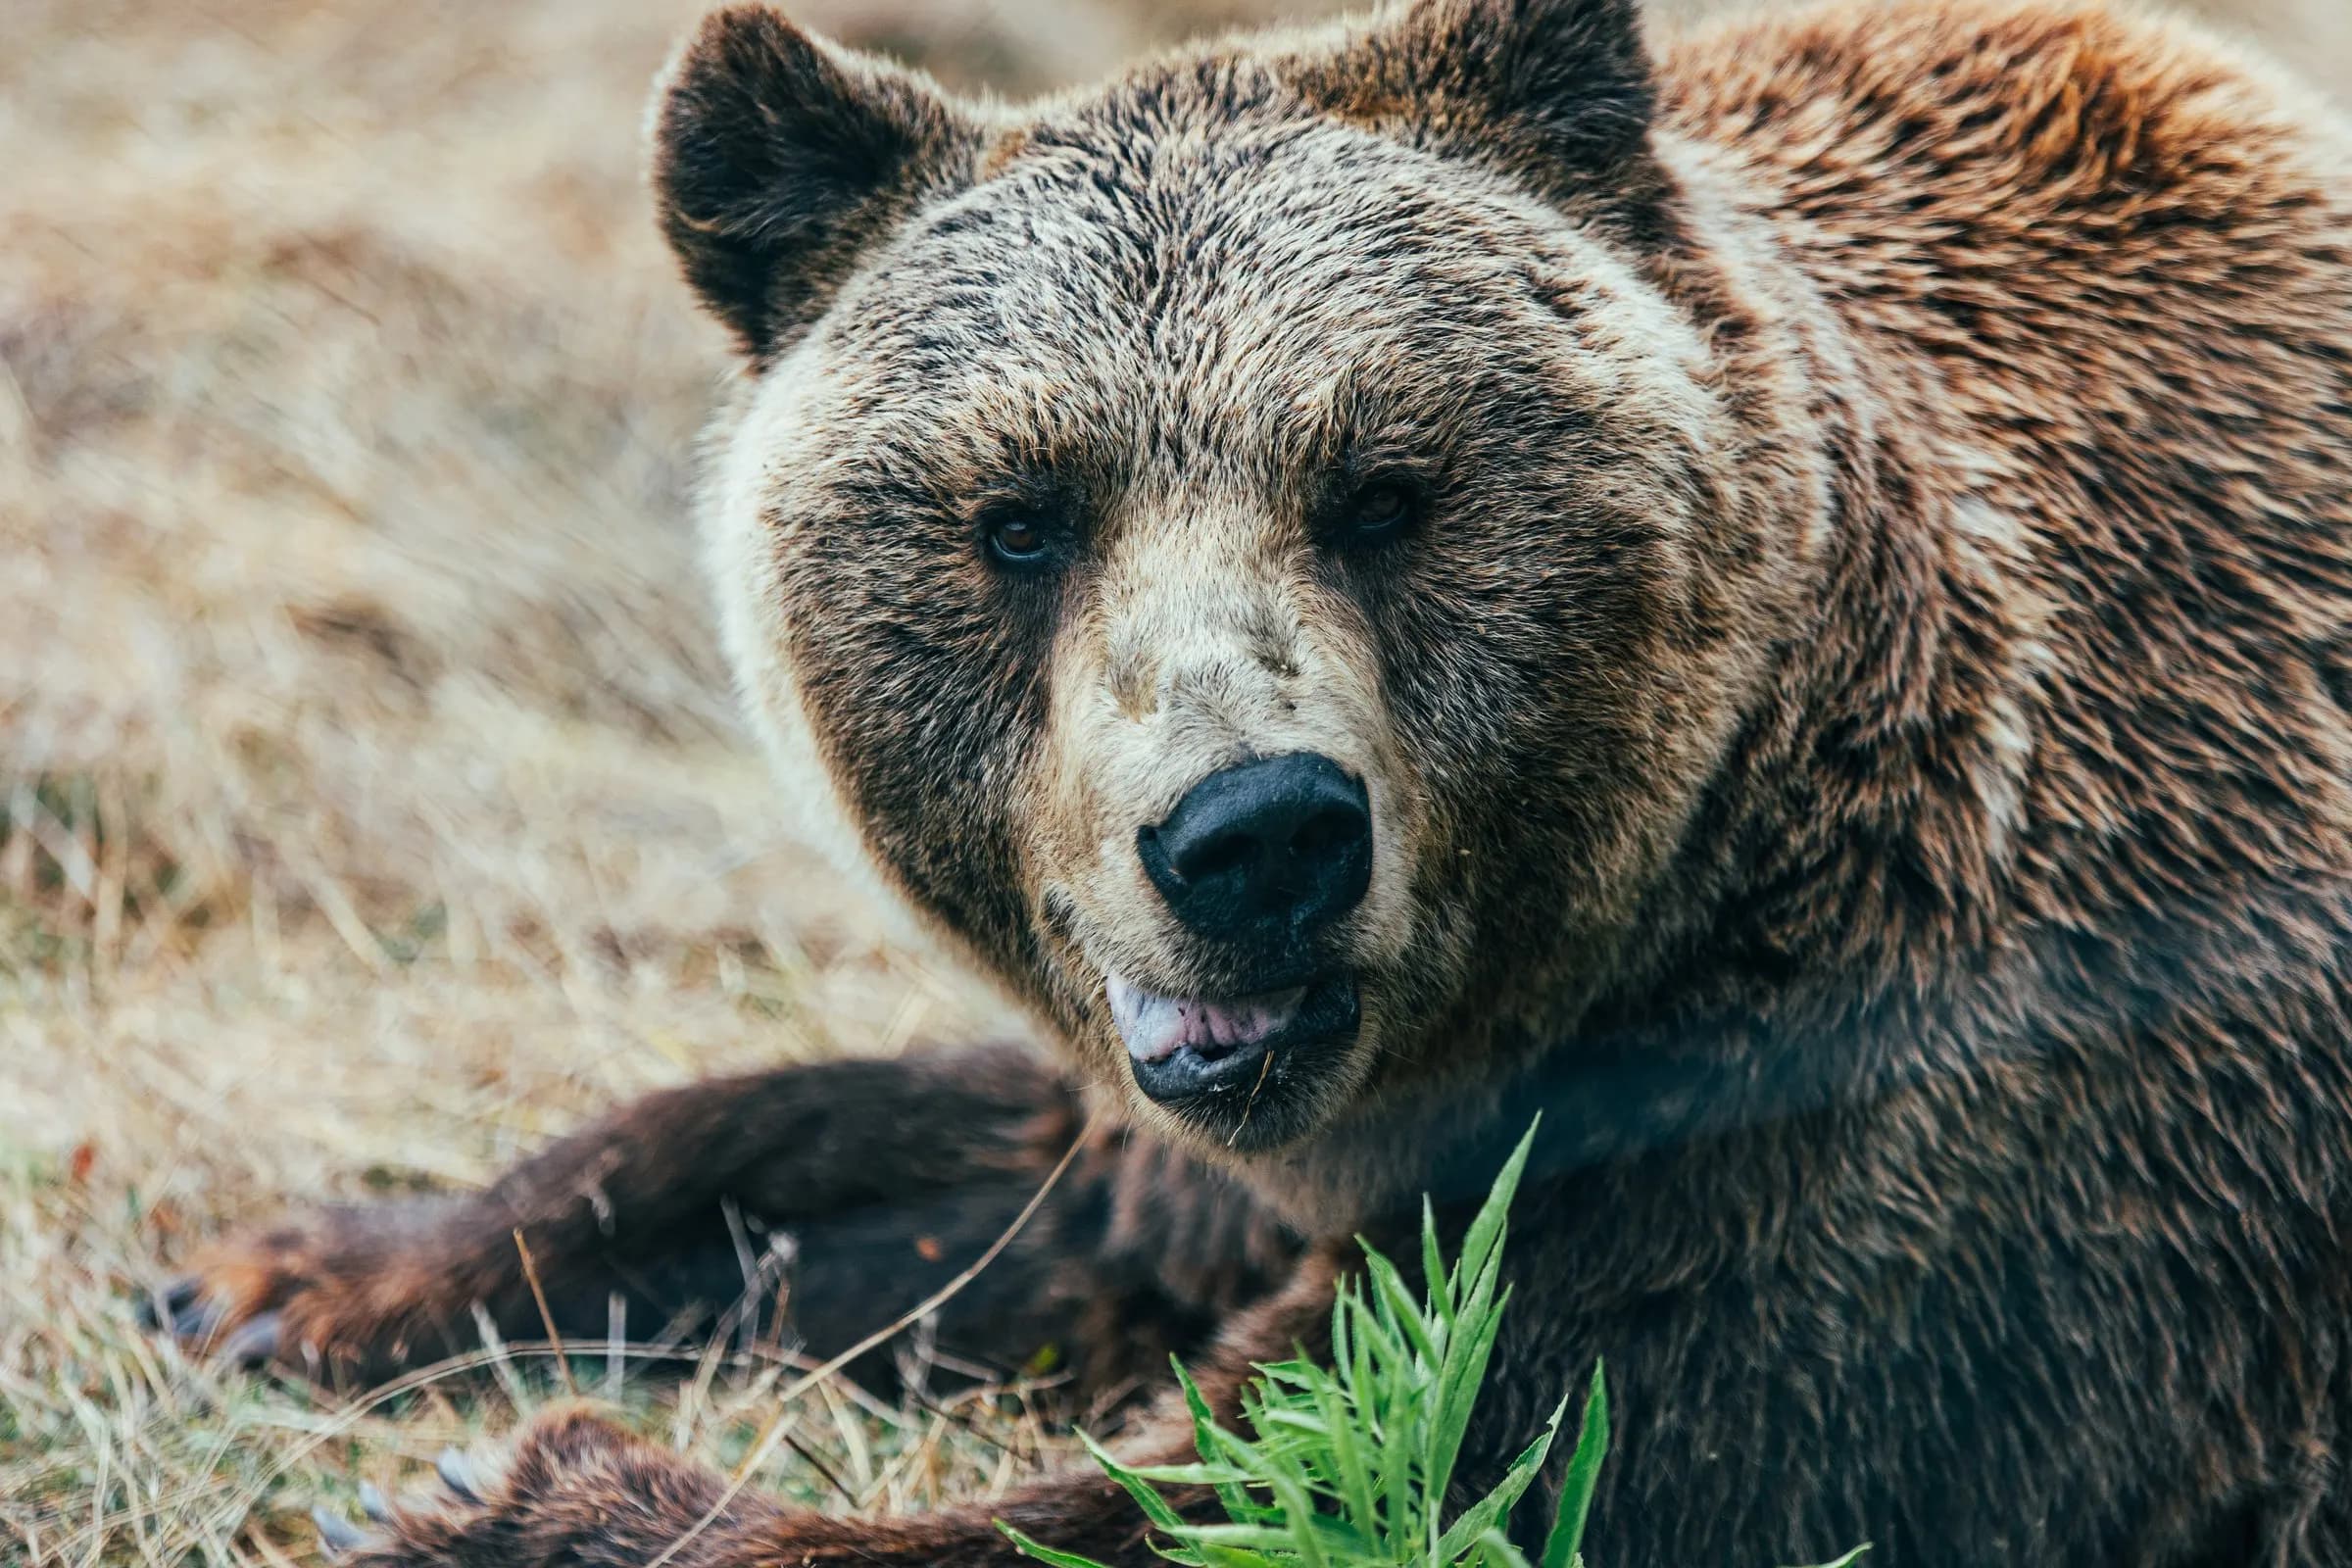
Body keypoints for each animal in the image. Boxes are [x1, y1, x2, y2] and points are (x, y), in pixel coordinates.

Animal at [147, 0, 2352, 1562]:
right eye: (1021, 517)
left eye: (1385, 488)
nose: (1256, 835)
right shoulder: (1229, 1082)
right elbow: (963, 1169)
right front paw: (295, 1271)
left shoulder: (1918, 1118)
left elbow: (1415, 1458)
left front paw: (524, 1499)